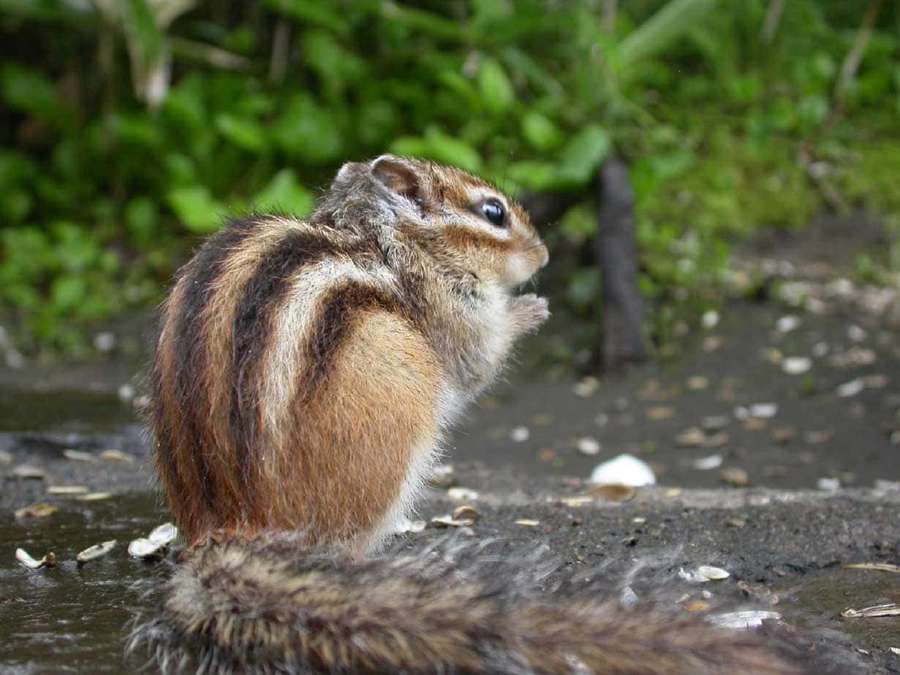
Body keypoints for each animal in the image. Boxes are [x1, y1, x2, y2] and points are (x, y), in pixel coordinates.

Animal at [131, 155, 805, 674]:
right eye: (494, 213)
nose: (544, 253)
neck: (383, 238)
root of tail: (231, 532)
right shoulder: (451, 306)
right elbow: (478, 360)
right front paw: (529, 309)